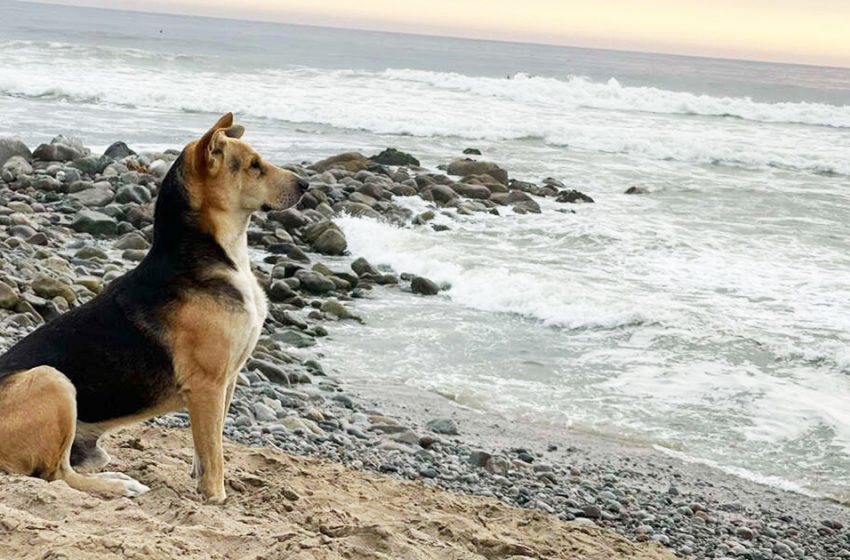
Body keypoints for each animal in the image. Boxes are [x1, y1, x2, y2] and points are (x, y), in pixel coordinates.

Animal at [0, 114, 304, 504]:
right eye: (254, 166)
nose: (306, 185)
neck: (212, 255)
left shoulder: (225, 382)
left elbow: (208, 445)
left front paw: (201, 482)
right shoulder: (209, 385)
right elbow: (215, 453)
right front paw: (217, 498)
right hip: (52, 379)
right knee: (56, 475)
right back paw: (119, 484)